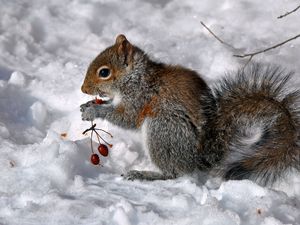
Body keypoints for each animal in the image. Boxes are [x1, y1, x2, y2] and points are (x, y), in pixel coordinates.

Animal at [80, 33, 300, 185]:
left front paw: (94, 111)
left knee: (173, 173)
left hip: (163, 129)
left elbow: (127, 118)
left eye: (104, 73)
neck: (136, 77)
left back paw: (145, 174)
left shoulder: (140, 98)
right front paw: (87, 106)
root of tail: (197, 159)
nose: (83, 90)